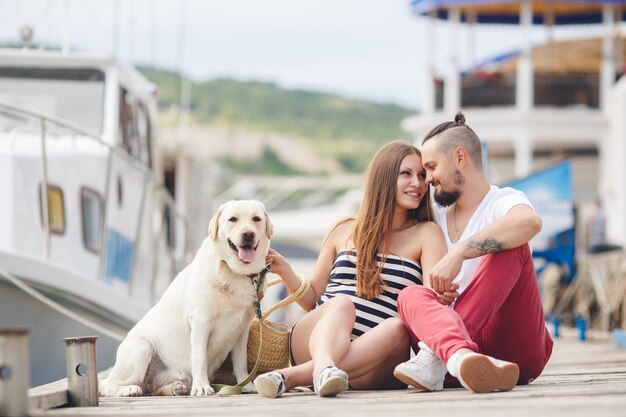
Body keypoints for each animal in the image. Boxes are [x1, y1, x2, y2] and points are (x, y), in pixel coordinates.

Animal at [99, 200, 270, 394]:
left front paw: (245, 384)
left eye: (256, 219)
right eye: (233, 219)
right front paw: (202, 387)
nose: (248, 234)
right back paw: (127, 390)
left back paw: (175, 388)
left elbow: (241, 362)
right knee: (108, 385)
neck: (234, 272)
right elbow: (200, 359)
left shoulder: (242, 329)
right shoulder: (201, 322)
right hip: (143, 347)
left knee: (152, 388)